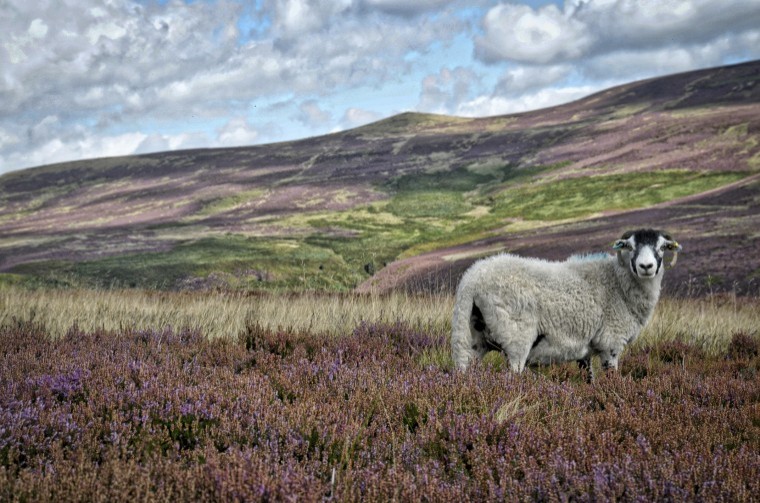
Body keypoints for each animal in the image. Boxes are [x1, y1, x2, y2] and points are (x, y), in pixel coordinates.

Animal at [452, 229, 684, 382]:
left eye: (661, 248)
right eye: (630, 247)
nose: (646, 266)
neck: (618, 282)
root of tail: (472, 279)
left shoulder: (585, 350)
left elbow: (588, 378)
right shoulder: (611, 342)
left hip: (474, 338)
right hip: (516, 336)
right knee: (514, 373)